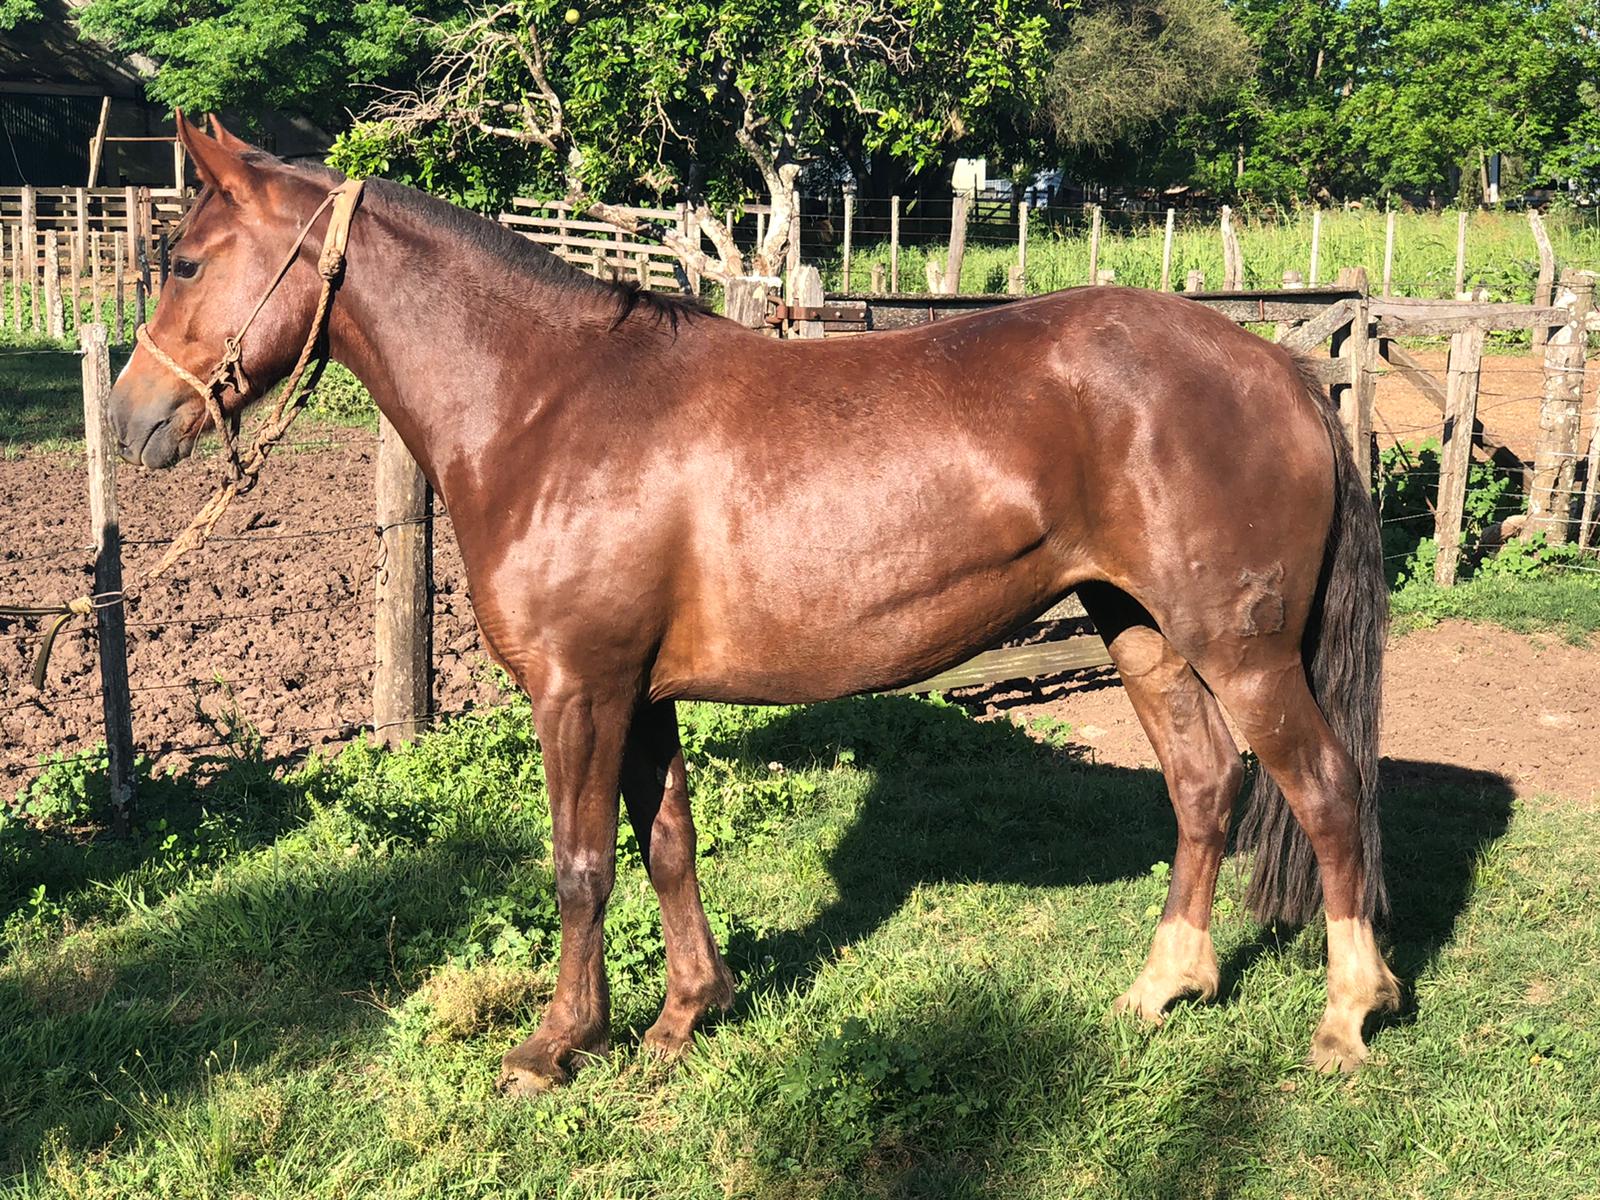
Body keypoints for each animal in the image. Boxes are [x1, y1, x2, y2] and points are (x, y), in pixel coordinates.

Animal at [109, 115, 1400, 1095]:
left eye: (185, 263)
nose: (128, 421)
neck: (549, 407)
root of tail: (1280, 367)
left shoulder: (581, 690)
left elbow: (581, 865)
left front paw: (555, 1046)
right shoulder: (639, 694)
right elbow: (667, 846)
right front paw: (687, 1016)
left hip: (1243, 652)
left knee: (1327, 794)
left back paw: (1345, 1016)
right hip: (1139, 633)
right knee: (1204, 787)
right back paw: (1162, 987)